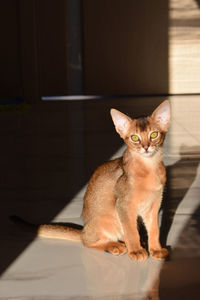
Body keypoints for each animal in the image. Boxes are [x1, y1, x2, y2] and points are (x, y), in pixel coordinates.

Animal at [11, 100, 170, 260]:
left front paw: (156, 249)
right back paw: (114, 246)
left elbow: (154, 230)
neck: (149, 168)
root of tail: (84, 228)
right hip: (110, 220)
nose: (146, 147)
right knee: (87, 241)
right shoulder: (123, 206)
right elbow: (131, 232)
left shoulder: (154, 205)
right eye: (135, 138)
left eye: (154, 134)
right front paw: (136, 251)